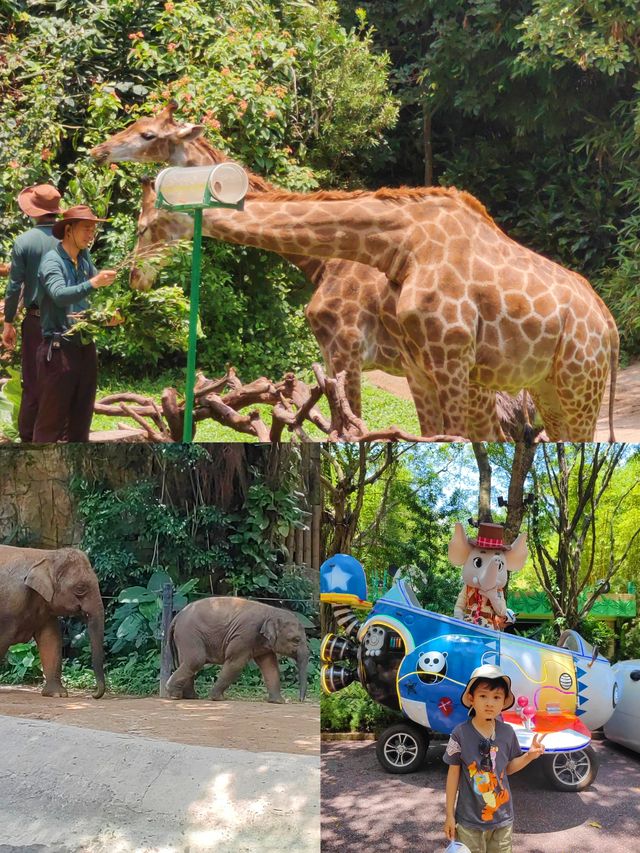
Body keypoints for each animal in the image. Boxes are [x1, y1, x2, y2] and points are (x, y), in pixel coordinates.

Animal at [90, 101, 508, 440]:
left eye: (147, 134)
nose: (97, 151)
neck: (322, 262)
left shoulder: (346, 352)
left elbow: (352, 431)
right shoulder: (337, 358)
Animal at [129, 182, 616, 442]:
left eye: (144, 226)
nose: (134, 277)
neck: (404, 244)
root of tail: (610, 327)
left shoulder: (449, 359)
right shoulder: (421, 367)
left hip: (579, 384)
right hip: (548, 388)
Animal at [168, 596, 310, 704]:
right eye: (296, 640)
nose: (300, 700)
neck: (272, 611)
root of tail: (177, 616)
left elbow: (271, 666)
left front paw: (278, 702)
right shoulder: (244, 634)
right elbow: (236, 663)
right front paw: (217, 698)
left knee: (186, 661)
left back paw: (190, 697)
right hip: (189, 634)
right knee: (196, 660)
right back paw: (174, 695)